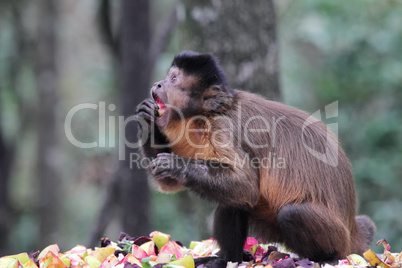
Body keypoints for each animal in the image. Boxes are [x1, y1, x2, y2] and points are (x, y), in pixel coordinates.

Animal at [136, 50, 376, 266]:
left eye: (173, 79)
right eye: (168, 77)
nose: (158, 84)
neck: (206, 115)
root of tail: (351, 229)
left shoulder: (222, 128)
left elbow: (246, 185)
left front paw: (177, 165)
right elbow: (169, 183)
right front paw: (147, 121)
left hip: (337, 237)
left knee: (291, 213)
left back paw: (326, 258)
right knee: (234, 203)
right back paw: (228, 259)